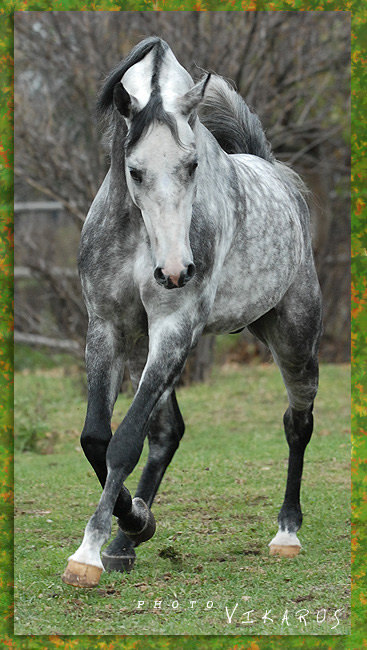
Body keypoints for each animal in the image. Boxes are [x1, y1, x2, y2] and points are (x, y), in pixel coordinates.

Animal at [62, 36, 322, 588]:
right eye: (134, 170)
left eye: (193, 166)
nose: (176, 272)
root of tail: (278, 176)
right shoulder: (108, 329)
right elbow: (97, 438)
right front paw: (132, 524)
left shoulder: (174, 327)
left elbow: (122, 443)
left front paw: (88, 552)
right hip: (147, 348)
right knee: (167, 433)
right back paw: (128, 540)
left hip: (294, 340)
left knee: (298, 422)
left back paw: (287, 532)